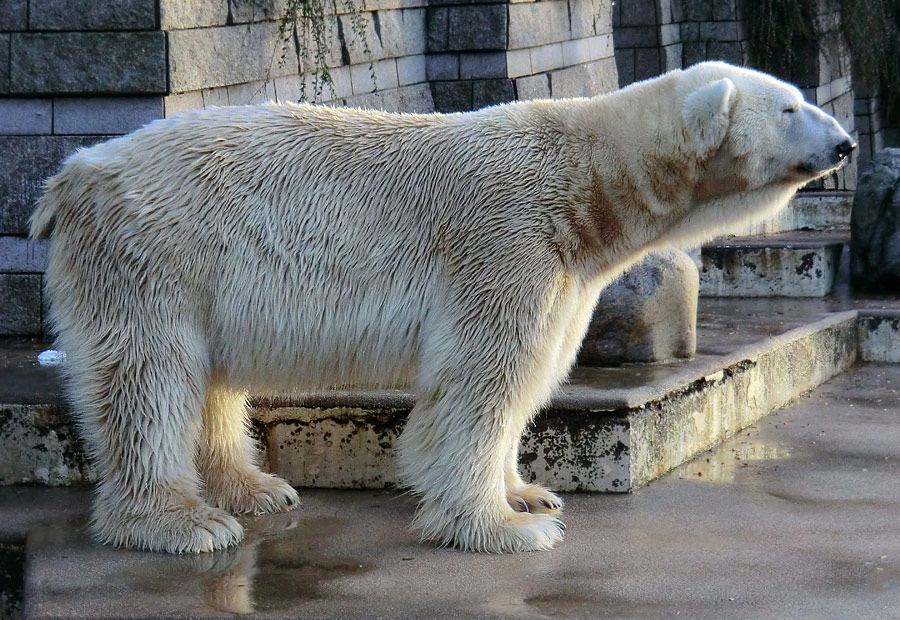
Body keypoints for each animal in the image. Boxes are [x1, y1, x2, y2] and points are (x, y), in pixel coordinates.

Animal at [31, 61, 856, 552]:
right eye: (792, 106)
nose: (846, 143)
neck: (587, 185)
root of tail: (71, 175)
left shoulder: (567, 269)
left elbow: (533, 370)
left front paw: (531, 495)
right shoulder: (507, 237)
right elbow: (485, 376)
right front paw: (503, 529)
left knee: (207, 380)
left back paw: (257, 488)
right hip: (158, 252)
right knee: (150, 378)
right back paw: (183, 522)